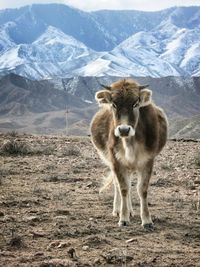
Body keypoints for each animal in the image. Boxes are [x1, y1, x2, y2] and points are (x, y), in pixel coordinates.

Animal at [90, 78, 167, 229]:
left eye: (135, 104)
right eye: (114, 104)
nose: (124, 130)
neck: (130, 144)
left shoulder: (148, 161)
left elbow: (142, 189)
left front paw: (147, 220)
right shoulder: (116, 161)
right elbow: (123, 188)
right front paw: (123, 218)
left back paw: (131, 211)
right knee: (118, 185)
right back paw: (117, 210)